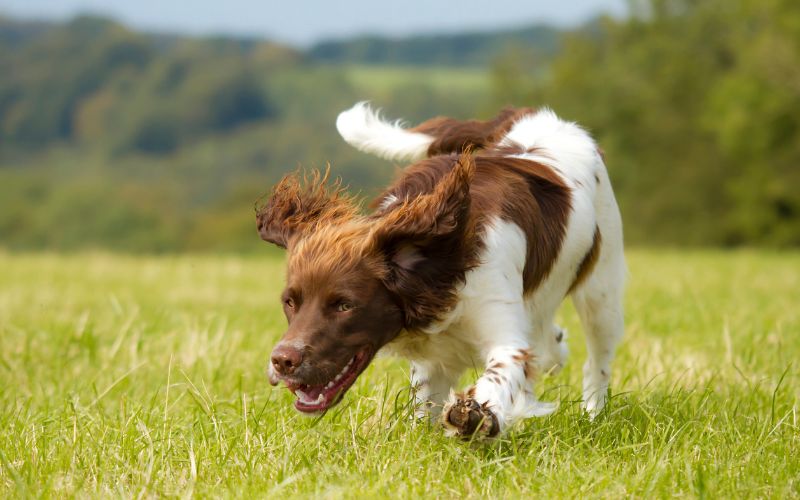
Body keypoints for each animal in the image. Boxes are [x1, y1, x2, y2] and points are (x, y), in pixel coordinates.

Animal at [256, 102, 624, 438]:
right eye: (290, 302)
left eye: (345, 305)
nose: (282, 361)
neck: (440, 269)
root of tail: (530, 113)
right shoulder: (434, 359)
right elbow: (425, 407)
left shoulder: (504, 333)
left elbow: (501, 373)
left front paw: (476, 415)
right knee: (549, 344)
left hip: (602, 294)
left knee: (596, 363)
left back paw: (593, 416)